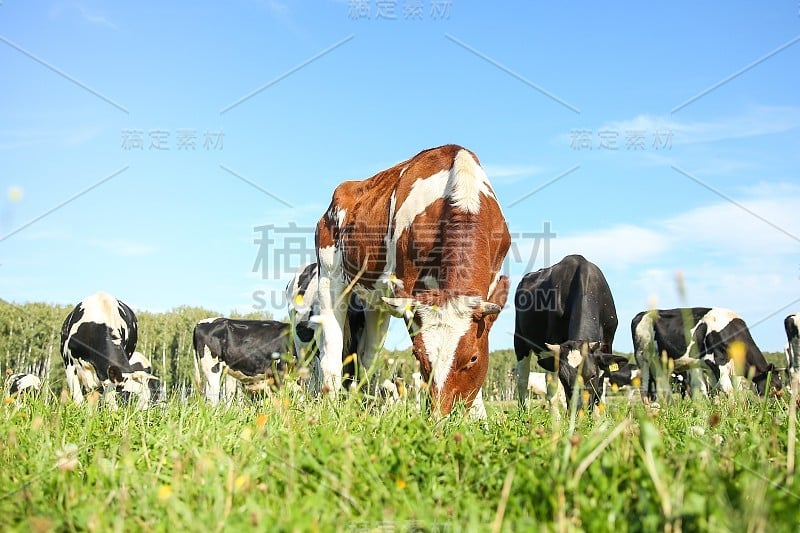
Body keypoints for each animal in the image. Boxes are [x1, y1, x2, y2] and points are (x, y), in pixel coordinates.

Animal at [316, 144, 510, 416]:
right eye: (418, 355)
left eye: (473, 358)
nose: (441, 416)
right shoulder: (406, 288)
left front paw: (478, 417)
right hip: (329, 277)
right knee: (331, 351)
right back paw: (332, 407)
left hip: (375, 303)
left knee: (367, 355)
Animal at [512, 254, 632, 408]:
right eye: (564, 378)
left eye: (592, 375)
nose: (579, 408)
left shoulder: (607, 342)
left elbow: (601, 388)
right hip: (520, 341)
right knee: (524, 379)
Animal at [632, 306, 780, 402]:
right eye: (773, 385)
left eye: (780, 384)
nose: (779, 405)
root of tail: (641, 314)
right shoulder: (717, 363)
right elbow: (729, 391)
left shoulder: (720, 369)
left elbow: (719, 391)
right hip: (643, 359)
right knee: (645, 388)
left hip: (661, 364)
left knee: (662, 387)